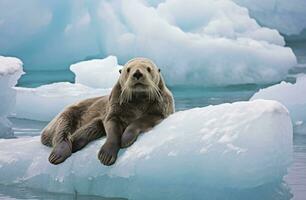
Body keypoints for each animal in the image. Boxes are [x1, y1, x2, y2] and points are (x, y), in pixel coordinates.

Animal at [40, 57, 175, 166]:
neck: (138, 104)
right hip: (66, 115)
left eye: (148, 69)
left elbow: (142, 121)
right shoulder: (113, 108)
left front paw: (126, 139)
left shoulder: (162, 109)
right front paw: (106, 155)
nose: (137, 73)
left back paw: (74, 143)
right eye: (128, 69)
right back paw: (58, 155)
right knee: (61, 132)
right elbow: (112, 127)